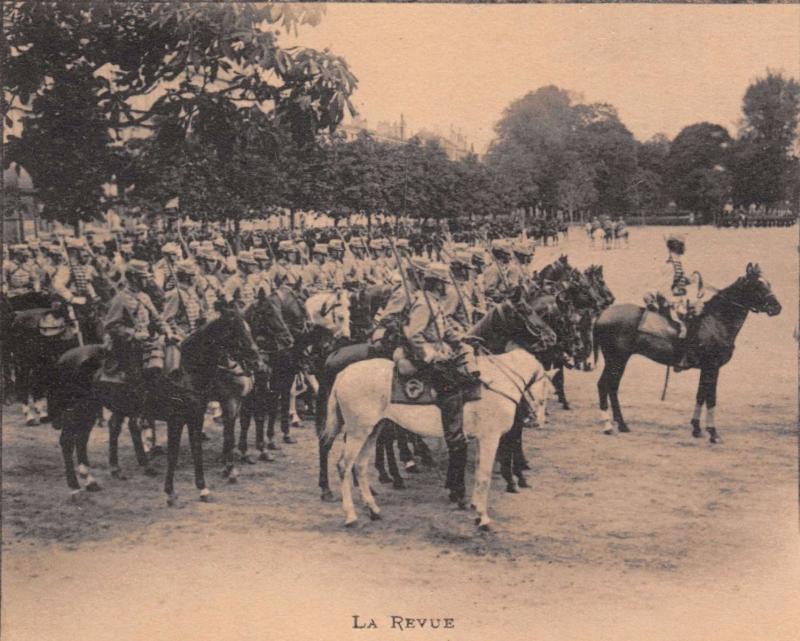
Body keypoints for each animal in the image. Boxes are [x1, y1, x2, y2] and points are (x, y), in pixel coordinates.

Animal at [322, 348, 548, 528]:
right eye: (546, 388)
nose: (537, 420)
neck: (496, 383)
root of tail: (344, 373)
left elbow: (478, 474)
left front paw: (475, 506)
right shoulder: (489, 438)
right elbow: (484, 477)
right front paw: (483, 518)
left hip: (372, 430)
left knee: (359, 466)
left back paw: (373, 510)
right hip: (357, 431)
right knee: (344, 466)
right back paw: (351, 515)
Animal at [592, 262, 780, 442]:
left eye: (769, 284)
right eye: (758, 285)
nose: (777, 307)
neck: (716, 321)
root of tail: (601, 316)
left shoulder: (706, 369)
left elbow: (700, 396)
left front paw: (696, 429)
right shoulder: (712, 367)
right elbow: (711, 398)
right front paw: (713, 433)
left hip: (617, 360)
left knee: (612, 387)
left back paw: (622, 425)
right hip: (617, 359)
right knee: (604, 385)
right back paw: (608, 426)